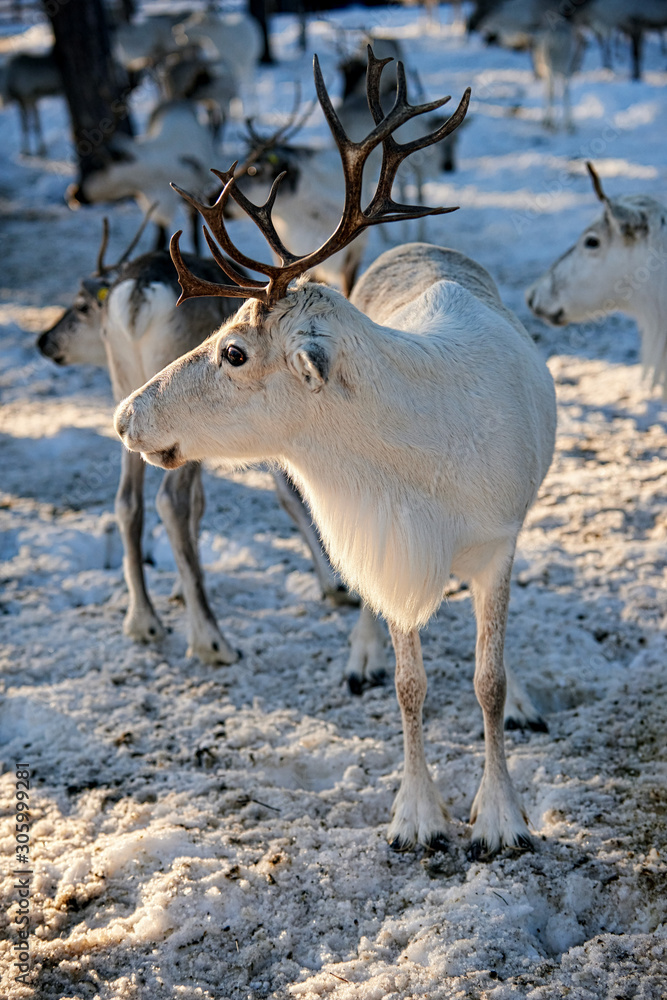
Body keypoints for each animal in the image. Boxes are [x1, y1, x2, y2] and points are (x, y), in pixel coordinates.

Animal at [114, 48, 557, 858]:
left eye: (233, 351)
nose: (126, 414)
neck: (412, 458)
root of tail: (416, 240)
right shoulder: (389, 546)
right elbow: (411, 687)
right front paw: (418, 814)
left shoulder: (495, 545)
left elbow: (488, 681)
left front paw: (501, 815)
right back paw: (360, 655)